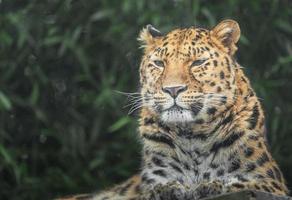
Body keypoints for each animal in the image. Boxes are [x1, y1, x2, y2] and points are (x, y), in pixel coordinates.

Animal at [57, 19, 288, 200]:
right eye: (159, 63)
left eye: (198, 62)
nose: (173, 89)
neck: (193, 136)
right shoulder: (154, 179)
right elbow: (152, 190)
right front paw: (167, 190)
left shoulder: (270, 182)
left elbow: (239, 183)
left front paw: (209, 186)